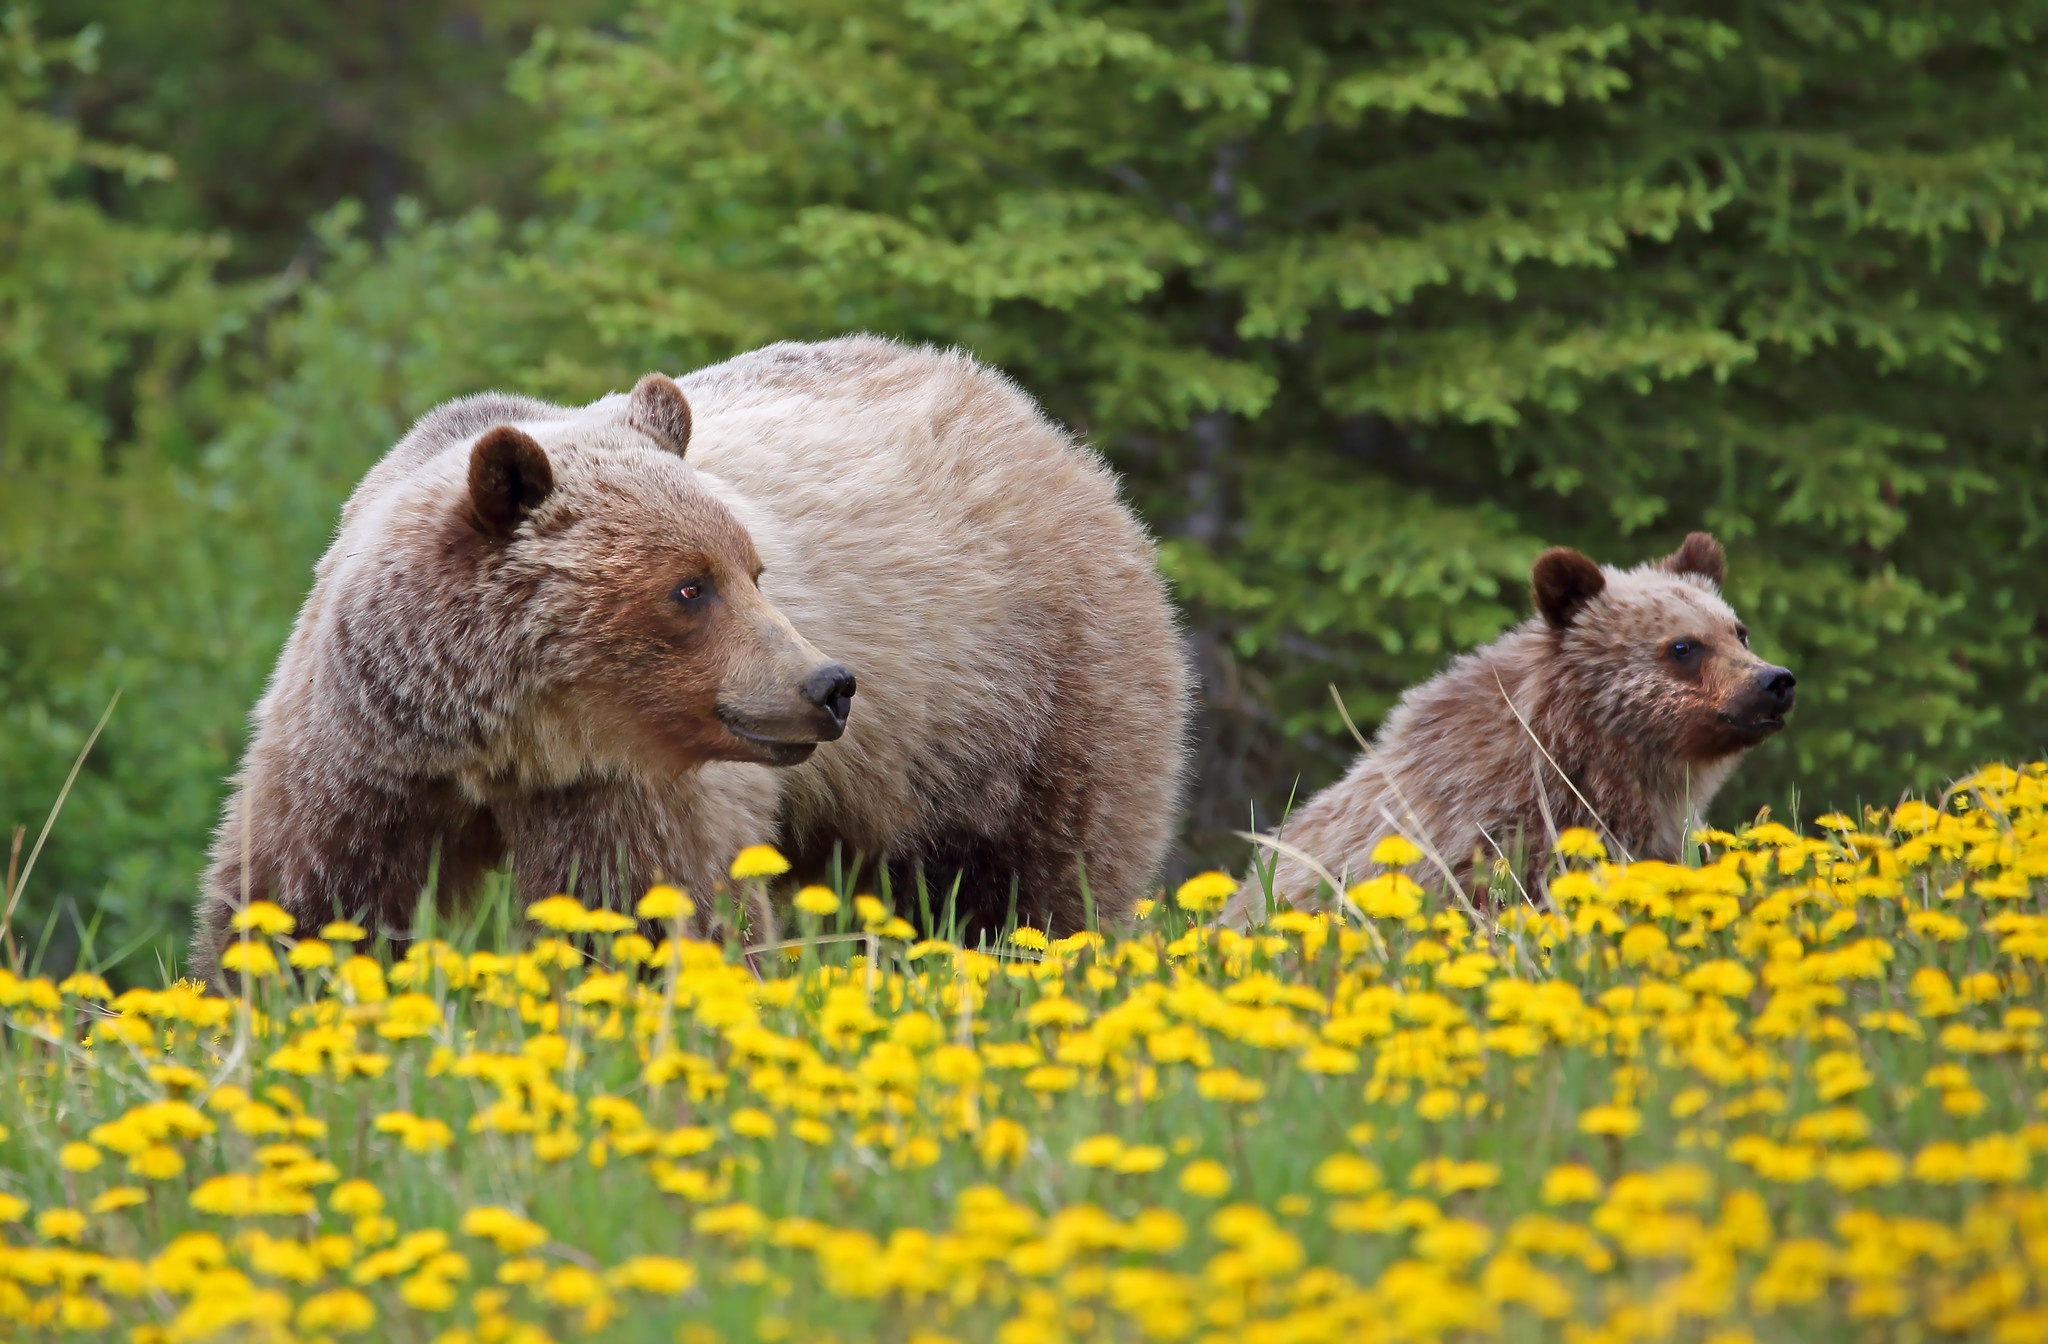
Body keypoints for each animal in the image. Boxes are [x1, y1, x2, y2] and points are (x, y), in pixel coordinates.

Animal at [195, 329, 1187, 971]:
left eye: (754, 569)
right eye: (689, 587)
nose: (829, 684)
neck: (500, 744)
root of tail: (1037, 423)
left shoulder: (626, 785)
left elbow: (648, 916)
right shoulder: (363, 751)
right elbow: (300, 897)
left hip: (1021, 690)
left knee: (1035, 878)